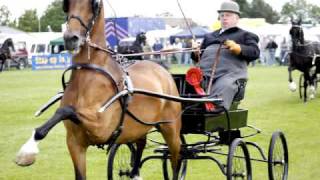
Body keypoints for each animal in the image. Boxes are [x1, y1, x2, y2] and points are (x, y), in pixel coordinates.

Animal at [16, 0, 181, 180]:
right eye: (67, 5)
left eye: (93, 4)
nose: (70, 38)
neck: (87, 76)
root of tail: (162, 70)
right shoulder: (75, 143)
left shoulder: (101, 127)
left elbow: (65, 110)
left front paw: (27, 150)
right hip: (139, 127)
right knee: (141, 145)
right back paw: (134, 173)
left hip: (171, 129)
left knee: (176, 160)